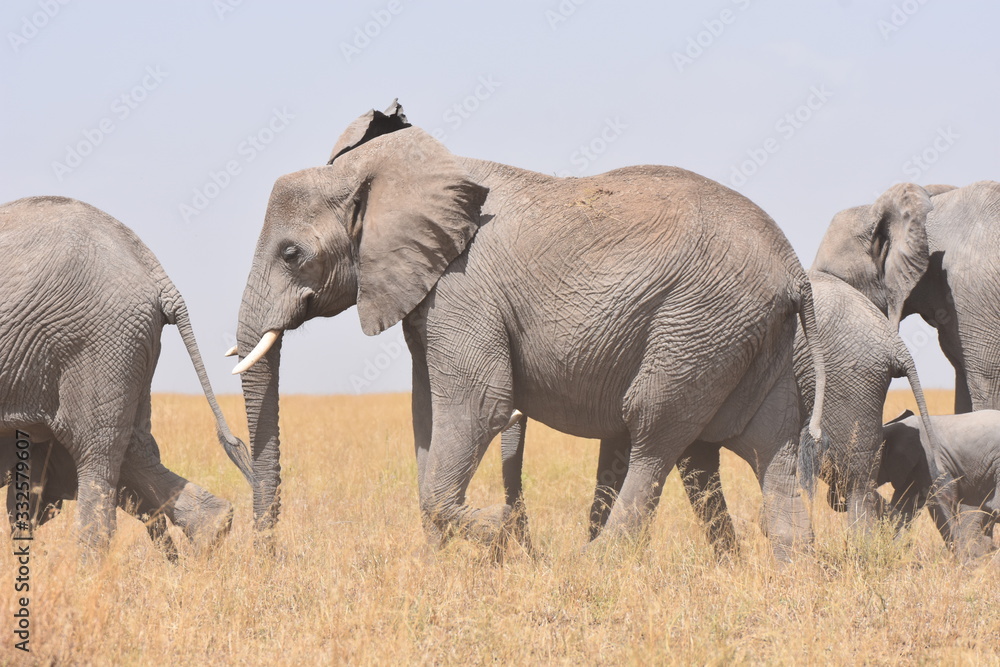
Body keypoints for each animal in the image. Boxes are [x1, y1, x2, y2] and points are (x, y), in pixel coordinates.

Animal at [0, 196, 254, 554]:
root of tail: (157, 275)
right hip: (129, 345)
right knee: (135, 449)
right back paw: (210, 537)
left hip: (97, 340)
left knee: (96, 451)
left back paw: (87, 565)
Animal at [232, 100, 828, 560]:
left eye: (291, 254)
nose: (267, 555)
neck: (389, 172)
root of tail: (794, 271)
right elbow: (425, 415)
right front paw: (436, 564)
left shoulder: (463, 288)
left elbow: (481, 403)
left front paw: (498, 531)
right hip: (750, 334)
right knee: (768, 449)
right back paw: (791, 574)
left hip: (698, 322)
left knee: (655, 431)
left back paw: (592, 564)